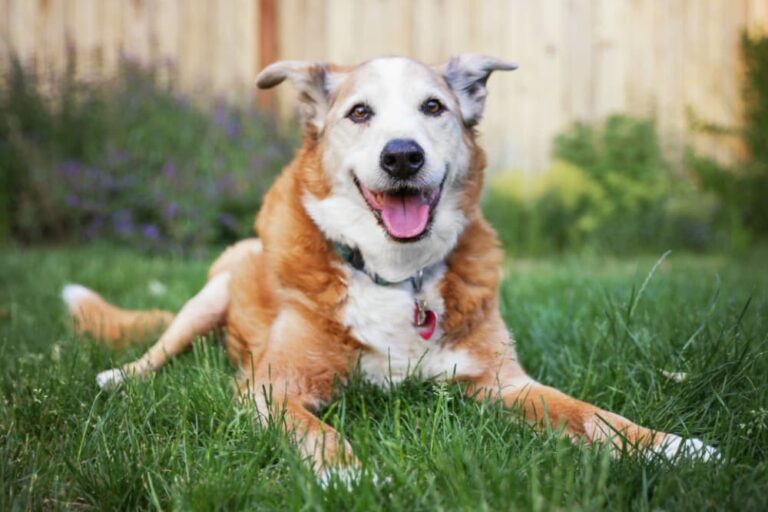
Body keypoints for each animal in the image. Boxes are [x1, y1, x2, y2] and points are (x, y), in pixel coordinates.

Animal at [63, 56, 716, 484]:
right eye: (359, 113)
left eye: (434, 107)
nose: (402, 155)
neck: (399, 276)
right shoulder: (271, 390)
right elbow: (315, 430)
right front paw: (346, 476)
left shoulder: (503, 383)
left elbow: (591, 415)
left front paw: (670, 446)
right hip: (210, 296)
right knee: (160, 347)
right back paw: (119, 377)